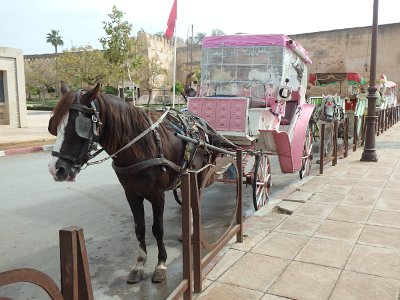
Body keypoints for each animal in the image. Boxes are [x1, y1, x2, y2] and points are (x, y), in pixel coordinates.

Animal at [48, 82, 222, 284]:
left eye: (78, 126)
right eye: (54, 126)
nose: (55, 169)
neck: (139, 146)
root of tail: (200, 123)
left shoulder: (157, 195)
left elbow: (157, 229)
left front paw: (160, 264)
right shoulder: (131, 194)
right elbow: (140, 228)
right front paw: (139, 265)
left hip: (199, 174)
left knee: (196, 202)